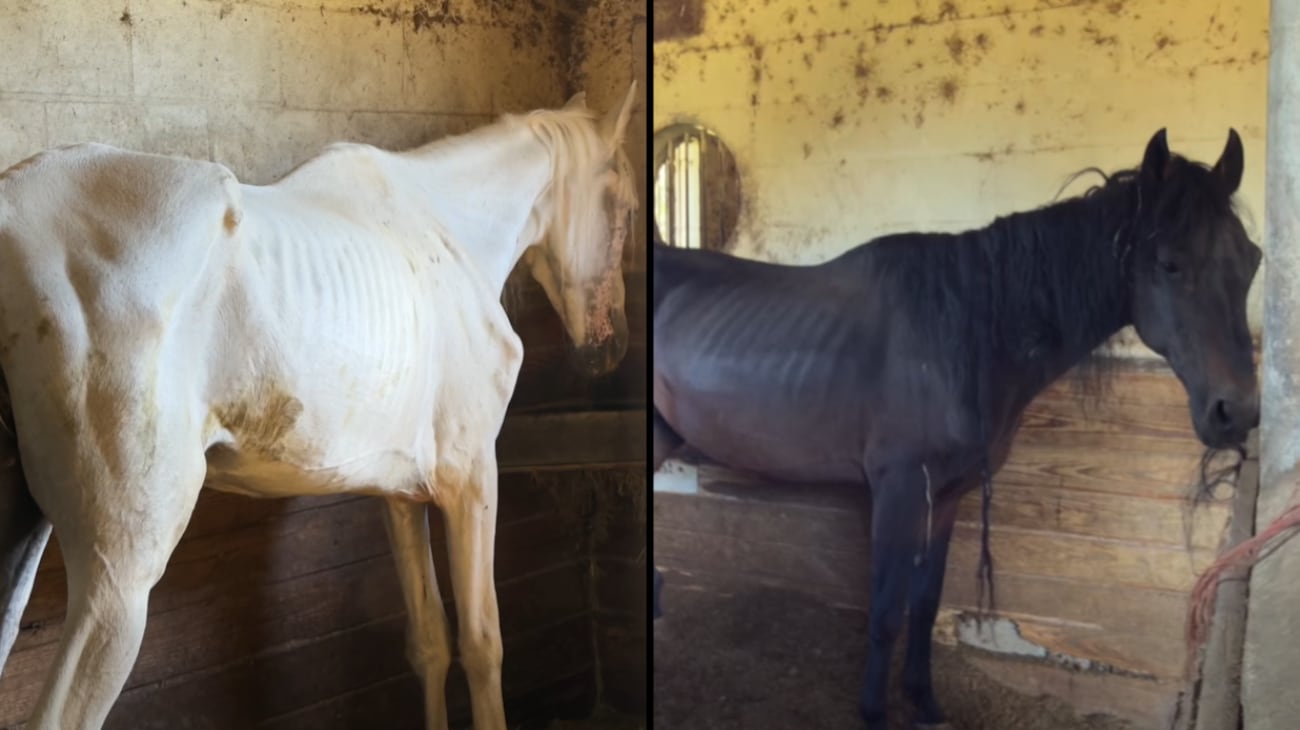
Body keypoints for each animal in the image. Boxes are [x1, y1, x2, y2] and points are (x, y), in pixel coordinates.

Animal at [0, 83, 638, 730]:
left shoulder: (401, 494)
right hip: (119, 579)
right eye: (629, 208)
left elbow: (430, 639)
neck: (446, 231)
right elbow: (483, 645)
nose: (609, 349)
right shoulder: (472, 479)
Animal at [652, 129, 1260, 729]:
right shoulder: (898, 491)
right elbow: (887, 610)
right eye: (1170, 263)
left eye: (1251, 260)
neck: (962, 335)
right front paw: (874, 713)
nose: (1238, 412)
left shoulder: (946, 496)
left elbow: (924, 603)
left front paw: (924, 703)